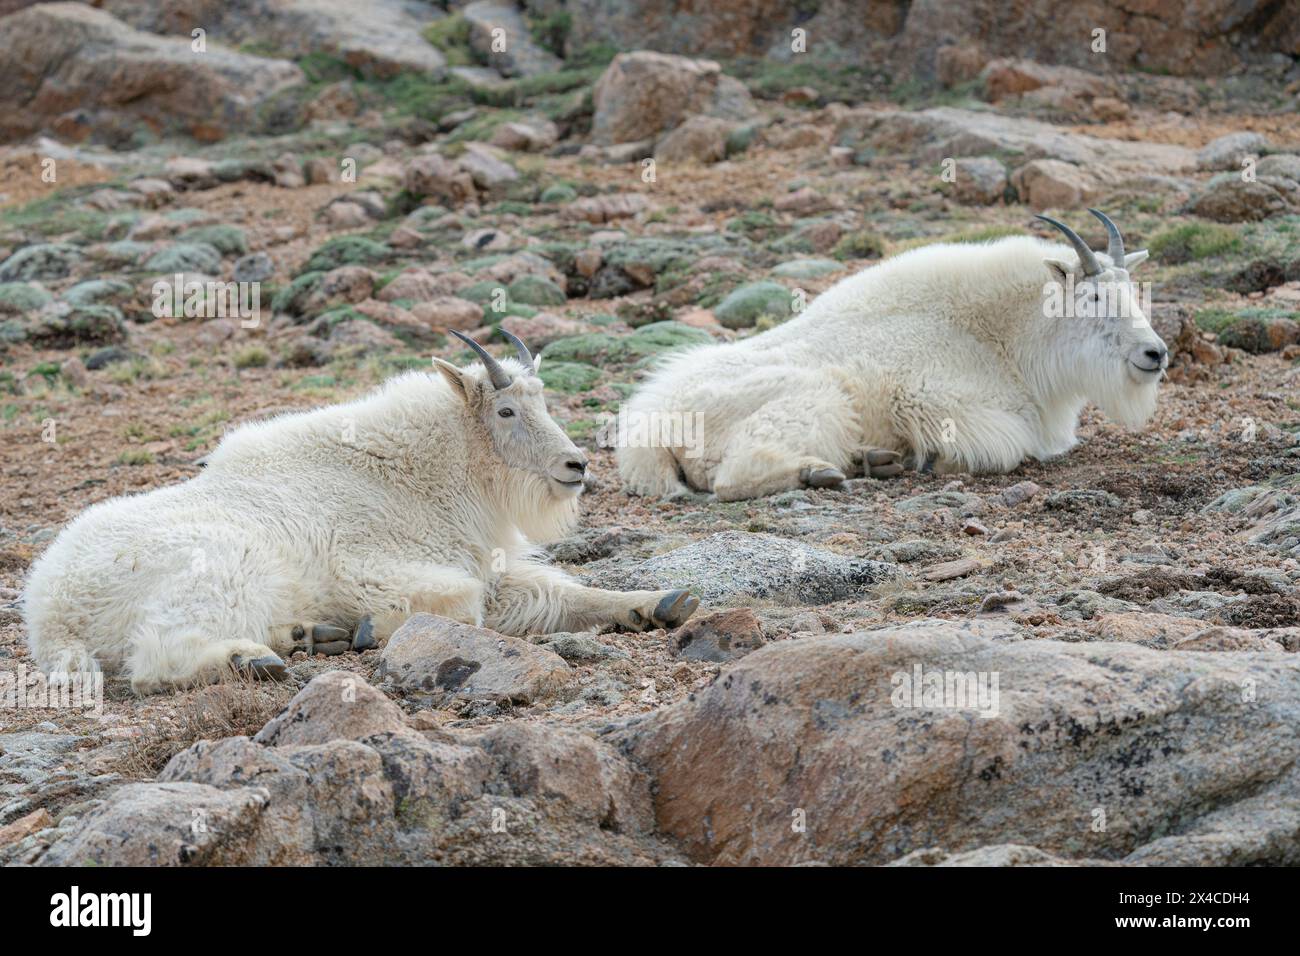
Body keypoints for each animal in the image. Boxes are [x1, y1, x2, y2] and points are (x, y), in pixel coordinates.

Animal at [22, 332, 702, 691]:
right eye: (507, 411)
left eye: (545, 402)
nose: (576, 465)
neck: (420, 473)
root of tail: (52, 609)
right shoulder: (367, 565)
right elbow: (465, 604)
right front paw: (371, 628)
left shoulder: (489, 566)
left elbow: (563, 594)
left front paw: (659, 603)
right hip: (219, 568)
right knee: (155, 659)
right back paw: (253, 657)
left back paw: (302, 636)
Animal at [618, 209, 1170, 502]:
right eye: (1093, 297)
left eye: (1133, 291)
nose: (1156, 353)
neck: (998, 336)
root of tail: (652, 434)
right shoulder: (937, 401)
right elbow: (1008, 445)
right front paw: (930, 460)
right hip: (816, 397)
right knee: (732, 478)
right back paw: (821, 471)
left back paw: (871, 460)